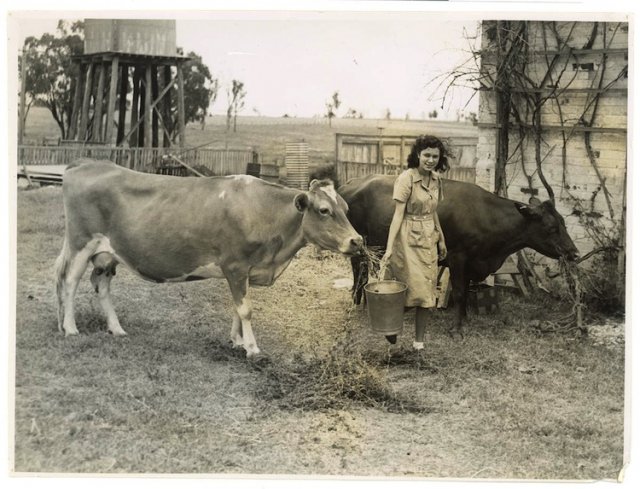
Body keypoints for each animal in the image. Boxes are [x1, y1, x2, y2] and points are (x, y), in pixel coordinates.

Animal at [53, 158, 364, 356]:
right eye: (324, 210)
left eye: (347, 208)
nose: (357, 241)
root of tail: (84, 163)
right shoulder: (235, 265)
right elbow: (246, 309)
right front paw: (252, 348)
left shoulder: (245, 270)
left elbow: (238, 307)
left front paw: (237, 341)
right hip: (81, 242)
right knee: (69, 281)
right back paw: (70, 328)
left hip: (107, 254)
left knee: (101, 286)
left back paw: (116, 329)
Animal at [338, 173, 576, 336]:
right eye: (551, 228)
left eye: (564, 223)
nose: (573, 252)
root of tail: (348, 184)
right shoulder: (458, 257)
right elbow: (461, 292)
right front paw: (456, 328)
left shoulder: (473, 262)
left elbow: (467, 290)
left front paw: (465, 318)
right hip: (360, 244)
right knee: (359, 273)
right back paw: (357, 303)